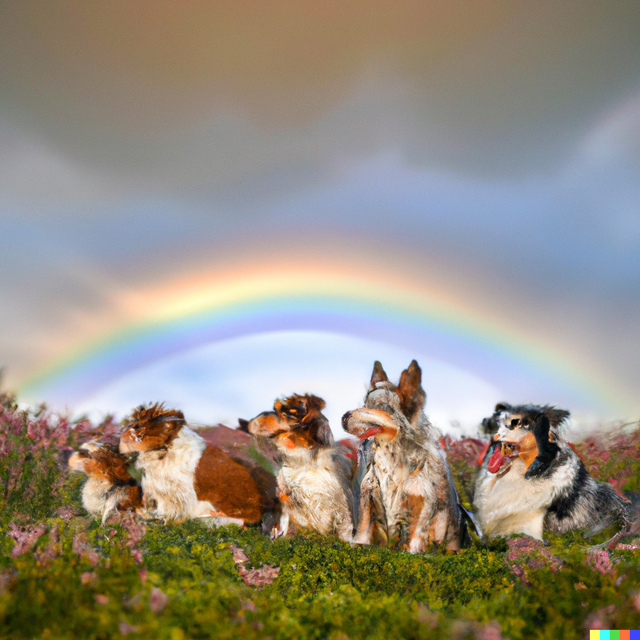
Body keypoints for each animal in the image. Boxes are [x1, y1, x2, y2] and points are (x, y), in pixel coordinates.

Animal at [342, 362, 468, 552]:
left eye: (377, 407)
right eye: (365, 403)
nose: (343, 417)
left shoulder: (422, 507)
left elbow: (414, 543)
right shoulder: (368, 497)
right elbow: (363, 532)